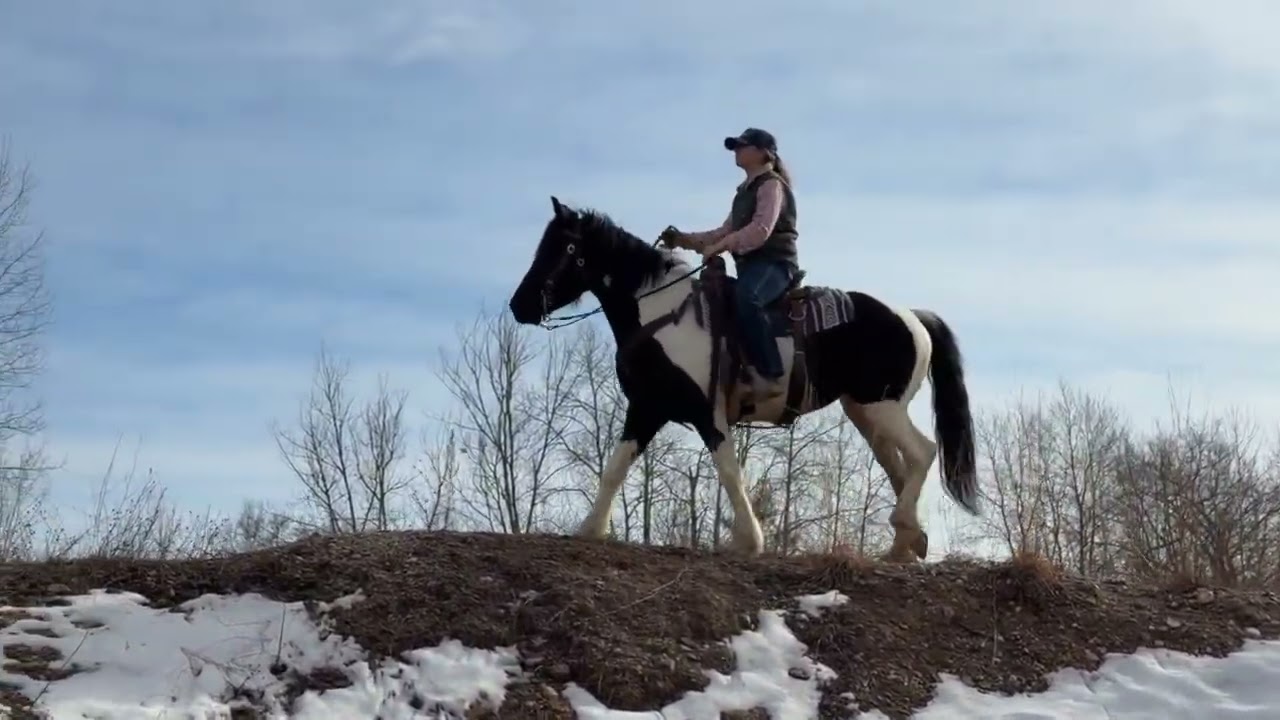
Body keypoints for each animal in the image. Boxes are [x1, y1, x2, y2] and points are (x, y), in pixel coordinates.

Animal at [507, 196, 979, 562]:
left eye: (565, 246)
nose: (519, 305)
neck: (661, 313)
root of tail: (912, 316)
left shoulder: (702, 410)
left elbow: (729, 470)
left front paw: (749, 541)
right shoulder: (648, 406)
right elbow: (616, 467)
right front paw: (590, 529)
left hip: (882, 407)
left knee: (922, 453)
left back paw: (903, 533)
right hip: (866, 412)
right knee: (898, 466)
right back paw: (905, 544)